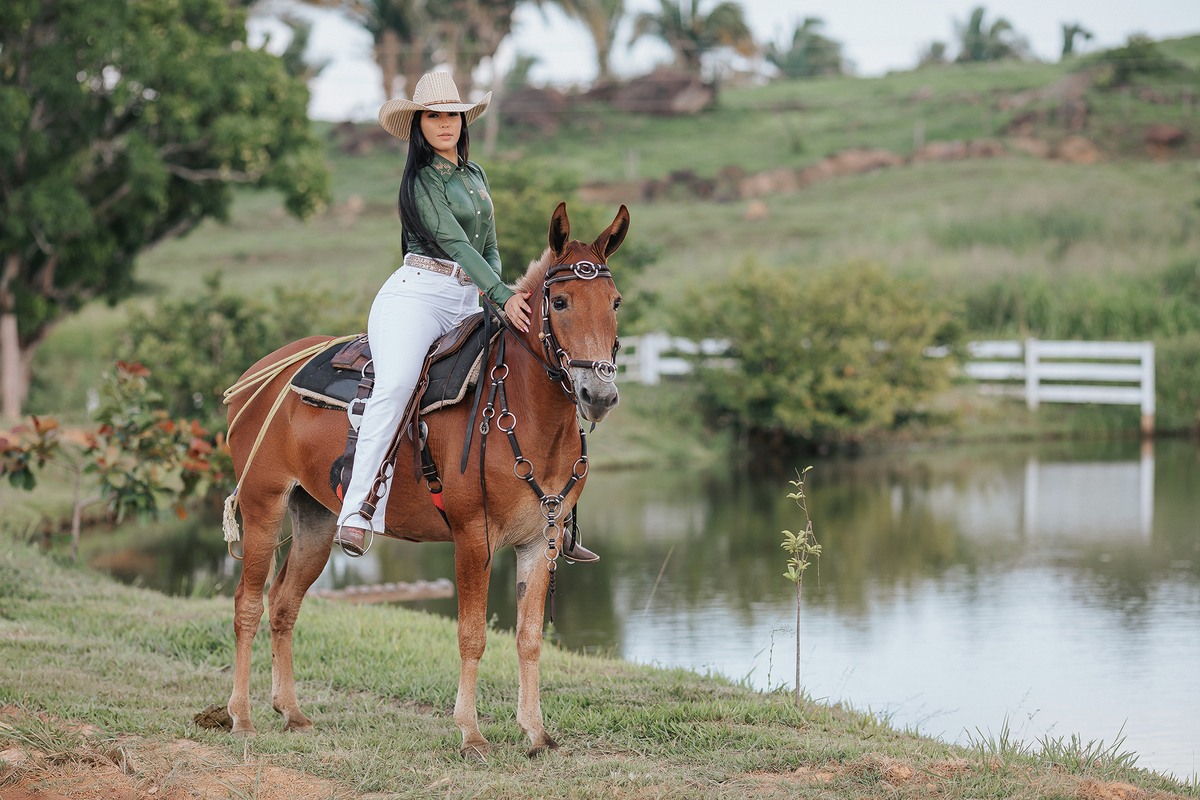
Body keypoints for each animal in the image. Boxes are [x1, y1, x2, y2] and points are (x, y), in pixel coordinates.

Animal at [223, 202, 628, 757]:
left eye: (615, 302)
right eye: (561, 301)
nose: (600, 394)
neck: (524, 412)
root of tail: (258, 375)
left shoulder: (538, 541)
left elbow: (528, 637)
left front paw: (534, 730)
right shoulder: (474, 538)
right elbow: (472, 635)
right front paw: (471, 732)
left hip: (317, 517)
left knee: (284, 602)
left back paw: (292, 711)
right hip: (263, 502)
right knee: (247, 603)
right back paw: (241, 716)